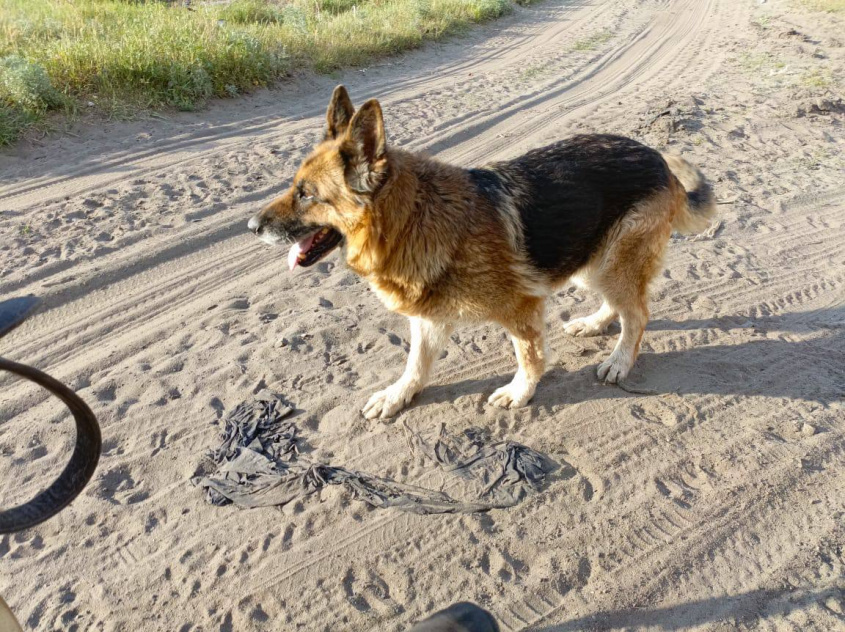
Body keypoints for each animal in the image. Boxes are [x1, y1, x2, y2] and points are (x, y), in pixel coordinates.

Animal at [247, 85, 716, 420]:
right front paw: (399, 394)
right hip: (590, 258)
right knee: (619, 305)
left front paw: (519, 392)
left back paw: (619, 360)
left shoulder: (522, 310)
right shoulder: (428, 319)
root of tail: (658, 159)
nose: (251, 227)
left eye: (306, 195)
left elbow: (530, 357)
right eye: (294, 187)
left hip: (612, 264)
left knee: (637, 314)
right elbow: (416, 364)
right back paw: (595, 324)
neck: (414, 218)